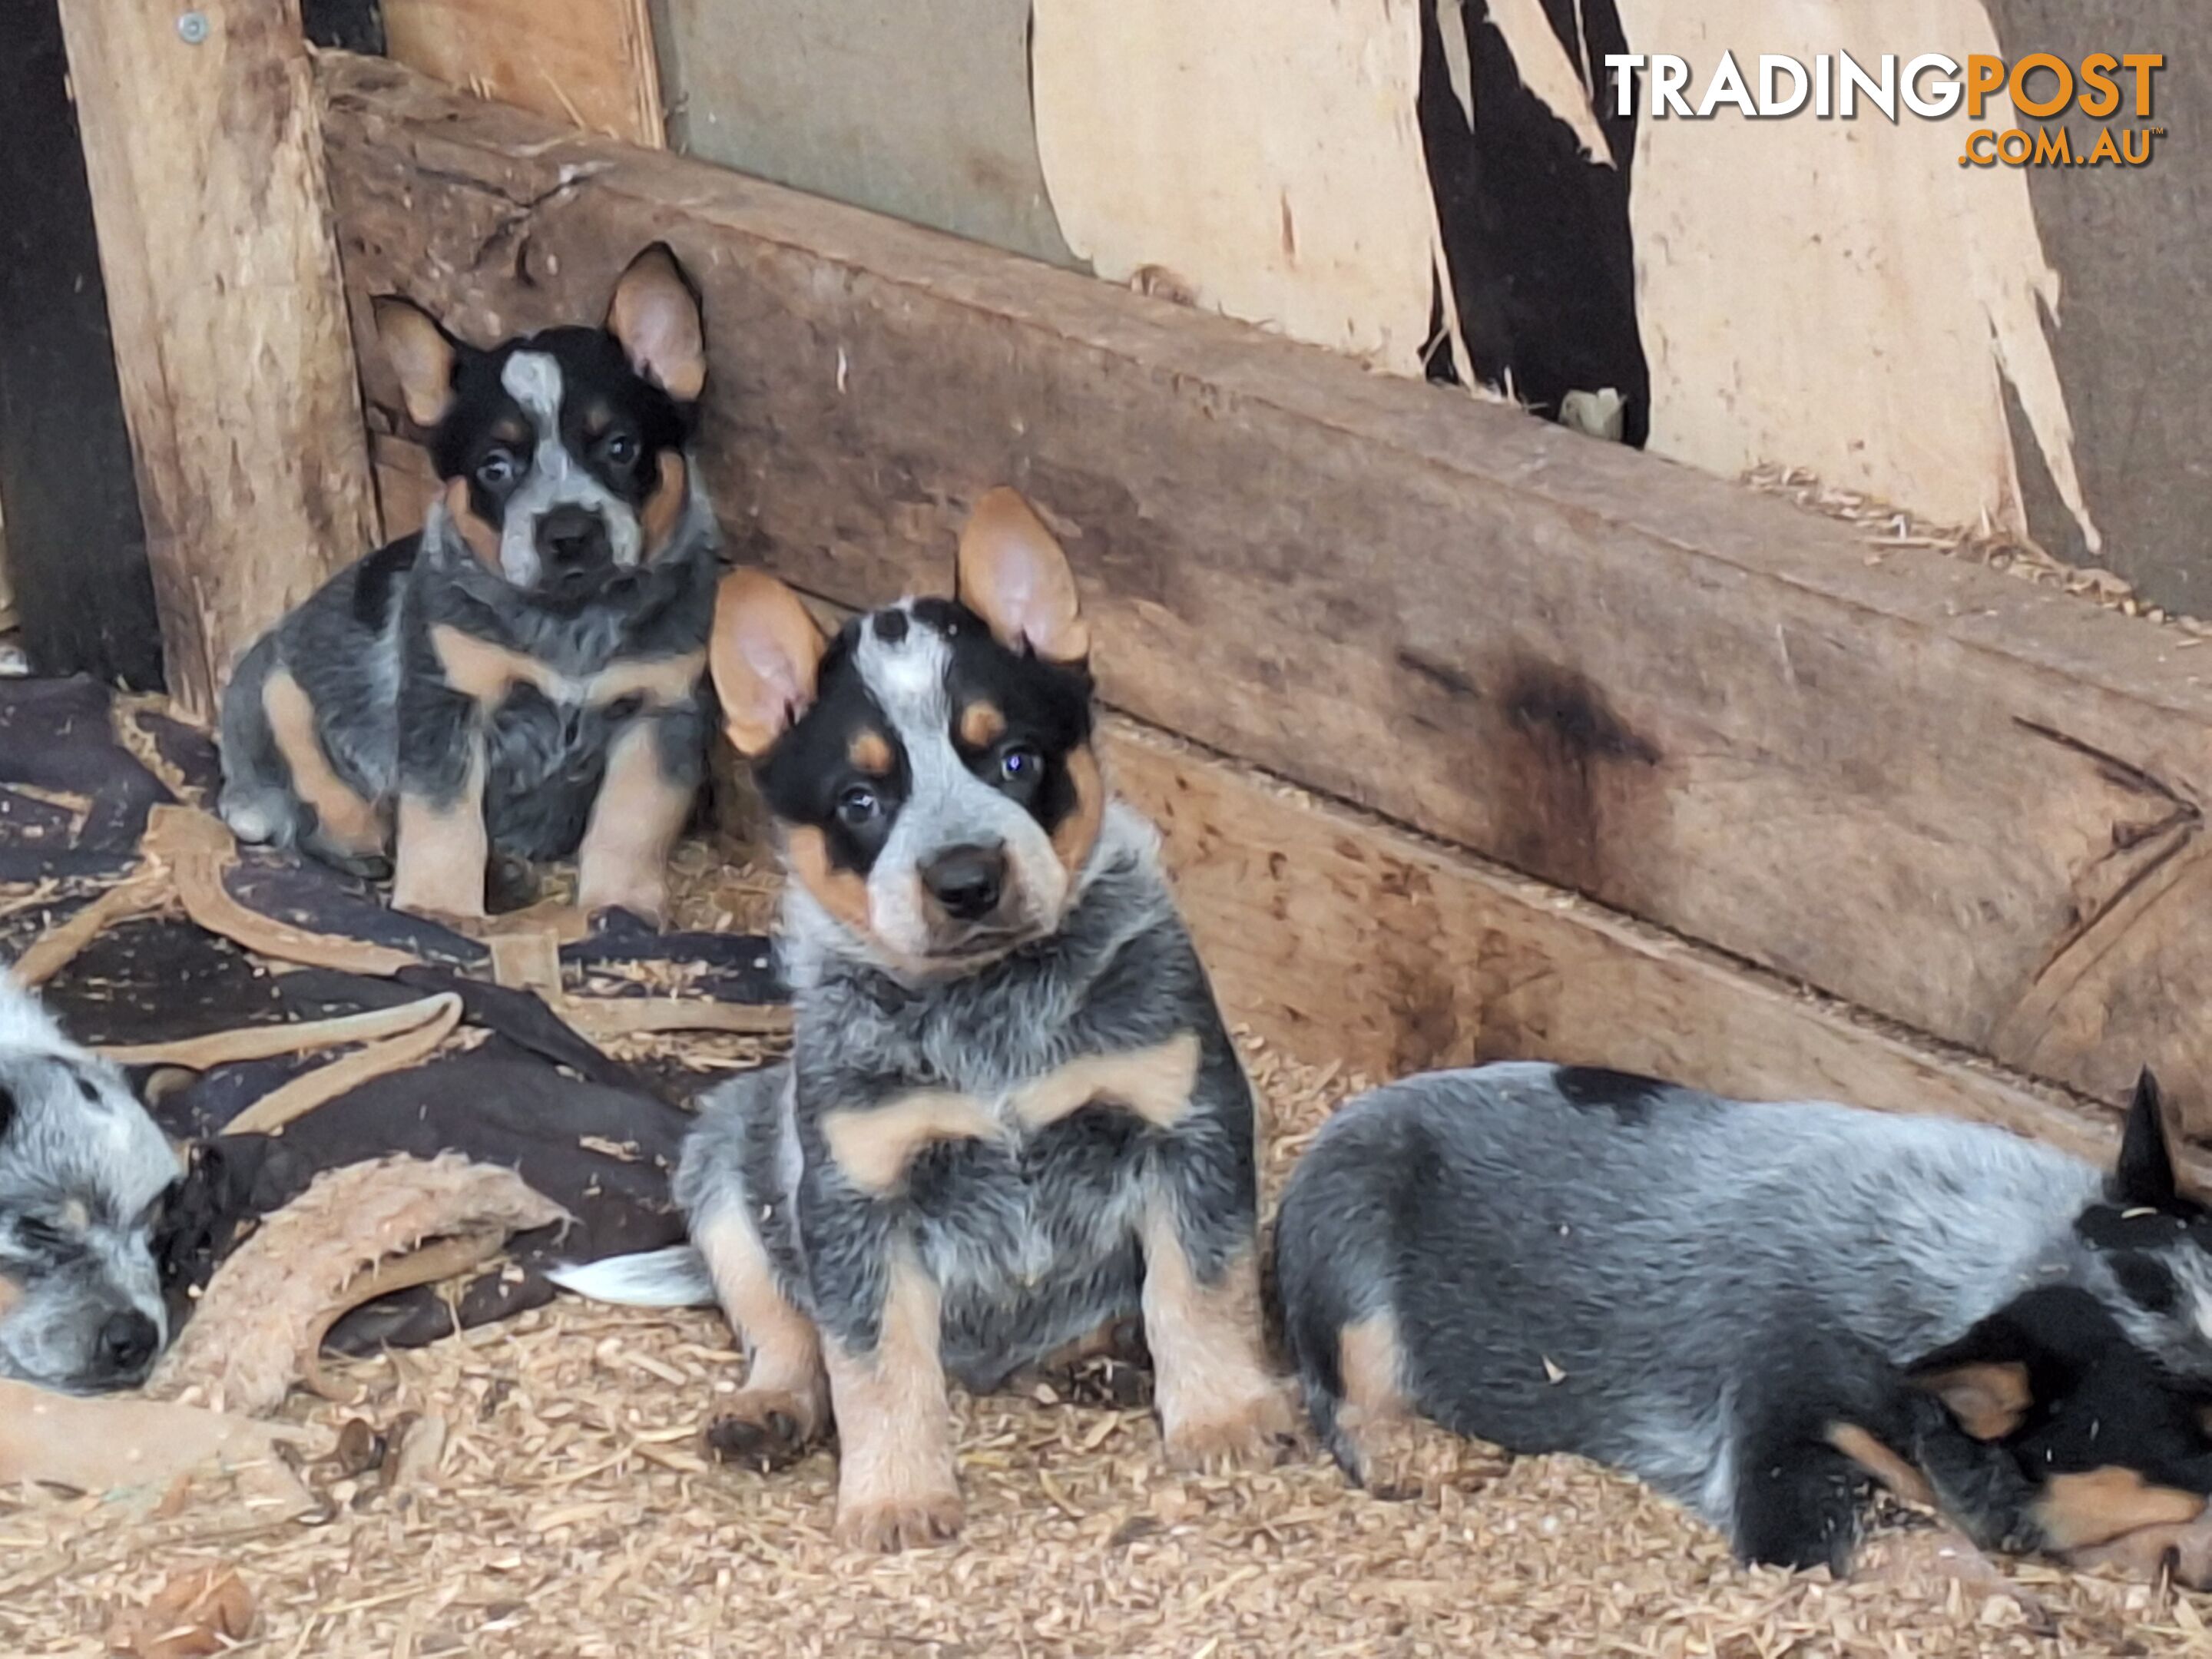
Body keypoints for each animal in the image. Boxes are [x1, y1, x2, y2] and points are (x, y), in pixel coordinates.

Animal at [561, 486, 1291, 1557]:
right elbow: (873, 1362)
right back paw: (766, 1411)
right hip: (727, 1157)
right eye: (861, 800)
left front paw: (1226, 1416)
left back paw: (1105, 1352)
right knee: (782, 1326)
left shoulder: (1182, 1115)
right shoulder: (860, 1189)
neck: (990, 1016)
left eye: (1016, 758)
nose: (966, 879)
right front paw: (896, 1497)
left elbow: (1196, 1287)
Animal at [1273, 1057, 2212, 1575]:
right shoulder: (1783, 1418)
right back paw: (1440, 1468)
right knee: (1345, 1393)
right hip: (1342, 1240)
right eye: (2192, 1435)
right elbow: (1876, 1541)